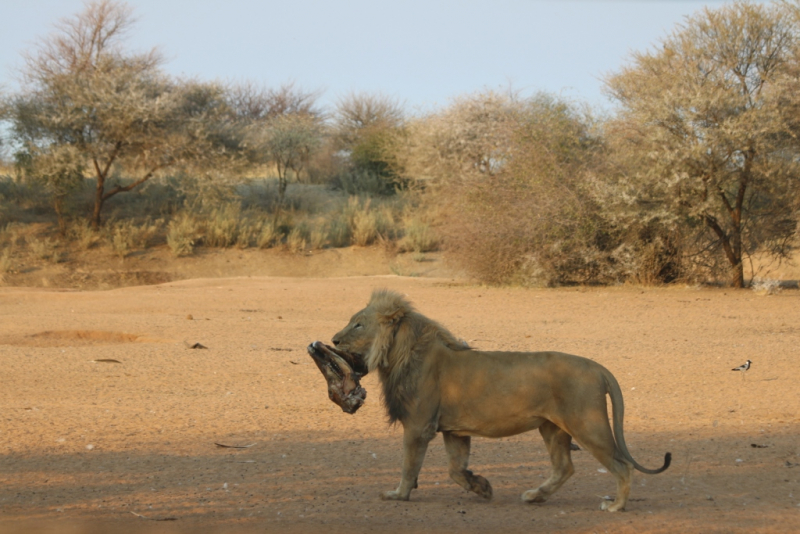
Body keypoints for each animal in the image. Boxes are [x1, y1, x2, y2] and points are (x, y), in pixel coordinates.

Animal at [330, 292, 668, 512]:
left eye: (358, 325)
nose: (333, 340)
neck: (400, 355)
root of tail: (598, 367)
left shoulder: (418, 426)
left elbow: (409, 466)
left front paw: (398, 495)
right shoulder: (454, 430)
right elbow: (455, 470)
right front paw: (482, 486)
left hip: (587, 424)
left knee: (622, 465)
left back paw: (616, 506)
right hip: (552, 428)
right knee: (564, 467)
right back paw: (535, 496)